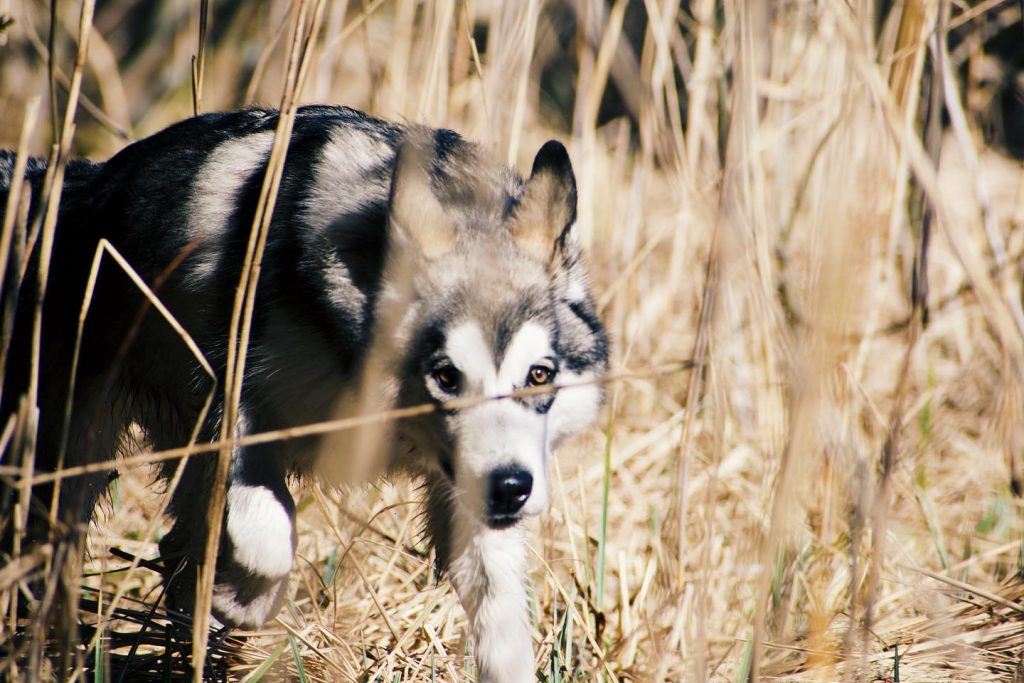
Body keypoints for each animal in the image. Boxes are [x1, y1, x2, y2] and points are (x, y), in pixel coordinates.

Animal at [0, 104, 606, 679]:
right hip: (62, 475)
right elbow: (268, 539)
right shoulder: (232, 413)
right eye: (447, 376)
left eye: (539, 375)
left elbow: (504, 634)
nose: (510, 490)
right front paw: (240, 601)